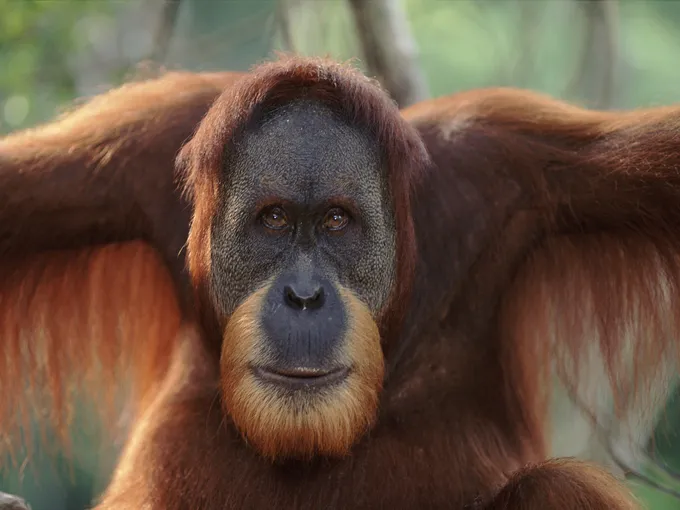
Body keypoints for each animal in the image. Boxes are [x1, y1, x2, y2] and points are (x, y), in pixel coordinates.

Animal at [1, 54, 673, 509]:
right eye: (275, 219)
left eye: (335, 221)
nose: (304, 296)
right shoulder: (134, 155)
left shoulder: (511, 163)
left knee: (558, 487)